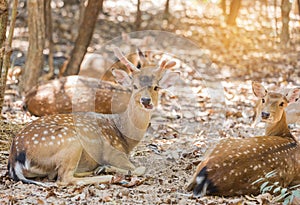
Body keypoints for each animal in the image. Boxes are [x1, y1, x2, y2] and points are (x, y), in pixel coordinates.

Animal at [8, 47, 179, 186]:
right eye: (135, 86)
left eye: (156, 87)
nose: (145, 100)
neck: (125, 138)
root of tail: (15, 157)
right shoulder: (114, 152)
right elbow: (139, 168)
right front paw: (107, 168)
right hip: (71, 142)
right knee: (64, 179)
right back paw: (107, 175)